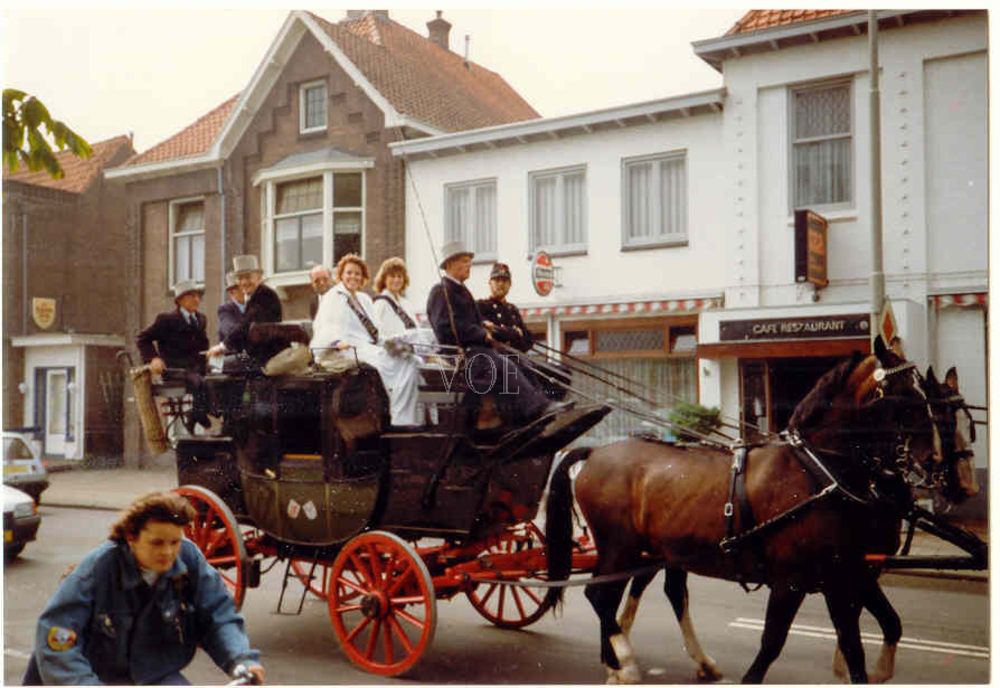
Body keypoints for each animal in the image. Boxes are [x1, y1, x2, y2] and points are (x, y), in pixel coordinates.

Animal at [544, 341, 941, 684]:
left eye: (923, 393)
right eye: (902, 398)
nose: (934, 462)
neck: (816, 472)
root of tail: (595, 453)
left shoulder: (846, 575)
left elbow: (876, 633)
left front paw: (873, 669)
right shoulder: (792, 581)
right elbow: (774, 642)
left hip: (648, 551)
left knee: (639, 595)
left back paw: (630, 660)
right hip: (620, 547)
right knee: (599, 596)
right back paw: (623, 662)